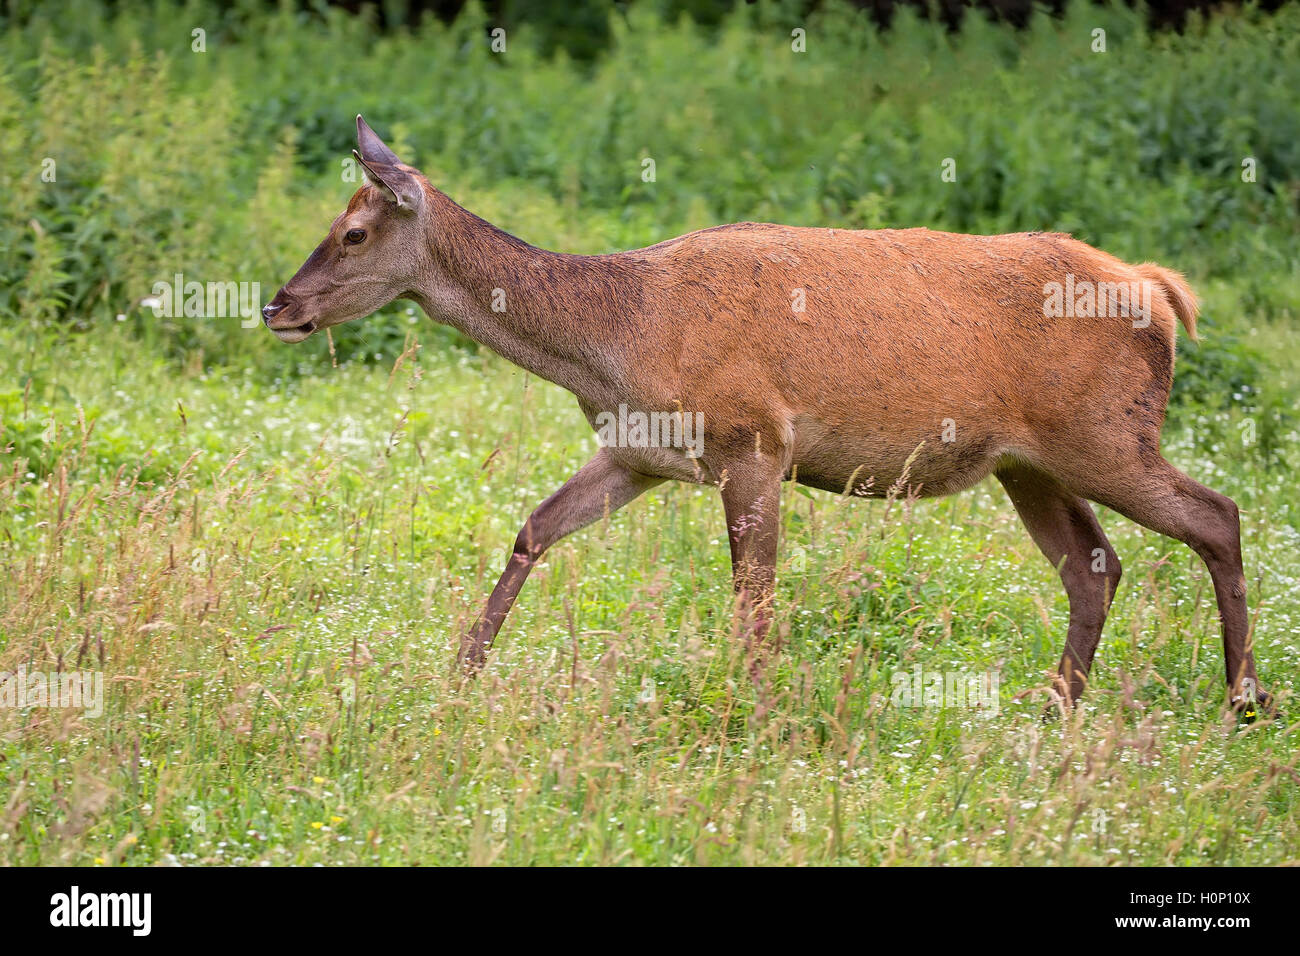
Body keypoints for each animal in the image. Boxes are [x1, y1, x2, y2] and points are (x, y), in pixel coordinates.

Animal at [263, 117, 1268, 717]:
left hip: (1107, 434)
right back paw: (1056, 704)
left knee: (1216, 515)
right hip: (1031, 463)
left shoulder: (753, 441)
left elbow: (754, 596)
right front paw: (461, 674)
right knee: (1096, 565)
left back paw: (1242, 700)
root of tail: (1160, 290)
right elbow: (534, 528)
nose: (276, 305)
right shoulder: (639, 453)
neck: (619, 340)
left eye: (353, 233)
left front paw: (753, 709)